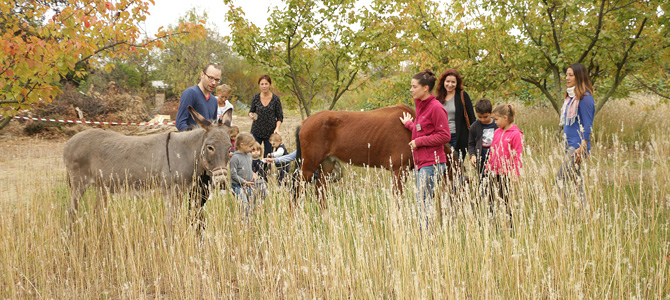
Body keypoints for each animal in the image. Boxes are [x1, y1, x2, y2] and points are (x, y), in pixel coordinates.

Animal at [296, 104, 456, 207]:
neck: (411, 131)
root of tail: (304, 122)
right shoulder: (399, 170)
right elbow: (397, 198)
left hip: (327, 164)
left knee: (319, 191)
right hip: (309, 166)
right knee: (297, 190)